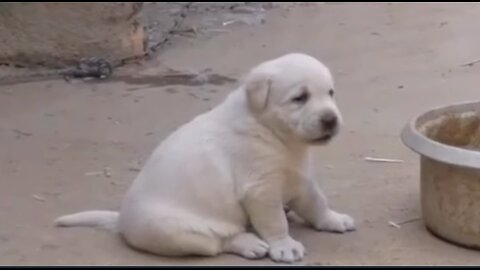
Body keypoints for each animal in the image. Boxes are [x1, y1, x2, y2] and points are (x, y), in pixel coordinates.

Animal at [56, 52, 356, 264]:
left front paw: (333, 219)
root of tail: (120, 221)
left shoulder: (299, 177)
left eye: (330, 93)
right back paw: (250, 244)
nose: (330, 120)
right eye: (299, 98)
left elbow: (316, 203)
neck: (271, 131)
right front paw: (284, 246)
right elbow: (274, 221)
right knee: (218, 242)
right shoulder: (261, 189)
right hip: (172, 230)